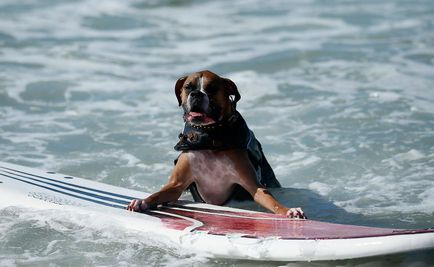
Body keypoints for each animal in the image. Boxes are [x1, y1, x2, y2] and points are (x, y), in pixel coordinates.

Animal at [127, 71, 306, 220]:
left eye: (212, 88)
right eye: (188, 87)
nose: (196, 94)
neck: (209, 138)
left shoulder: (253, 186)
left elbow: (270, 200)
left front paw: (288, 210)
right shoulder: (175, 186)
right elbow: (159, 193)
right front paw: (143, 201)